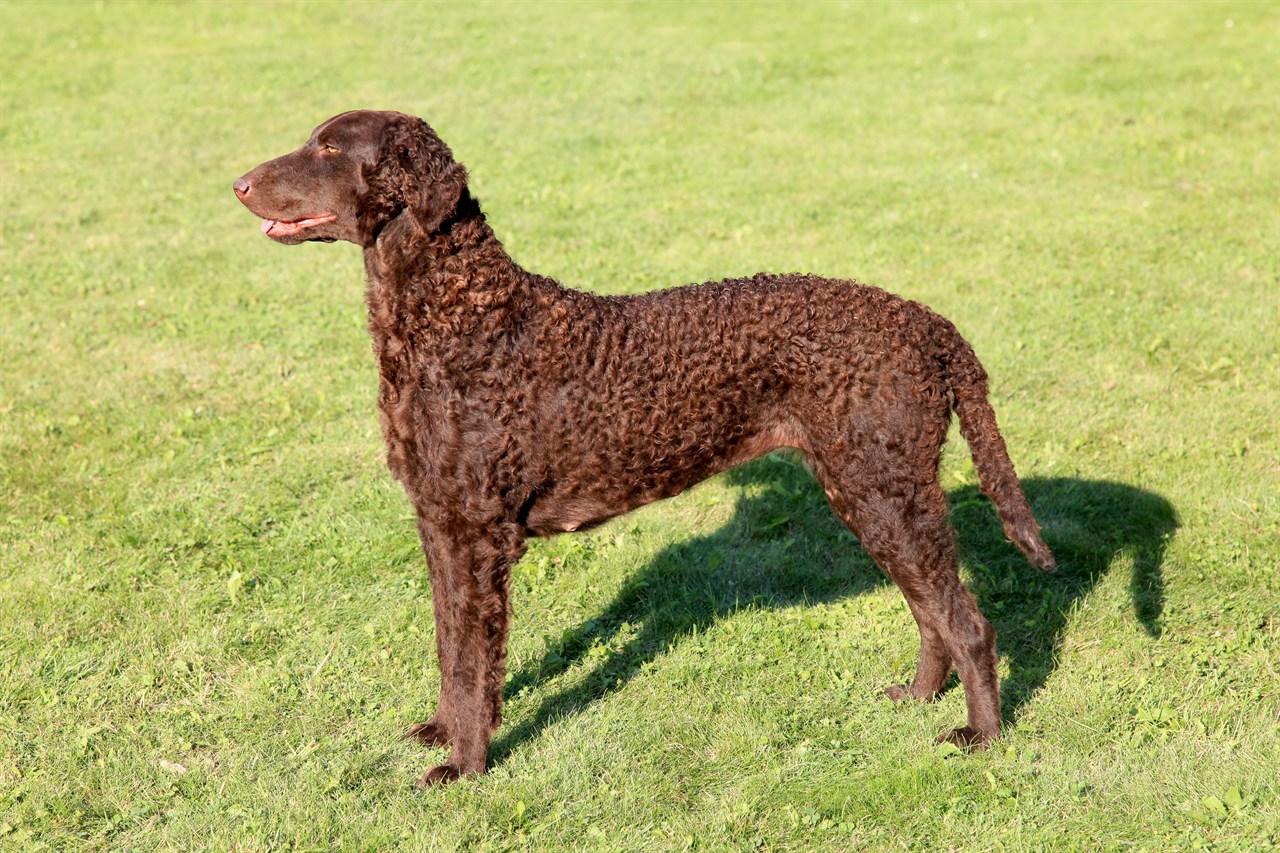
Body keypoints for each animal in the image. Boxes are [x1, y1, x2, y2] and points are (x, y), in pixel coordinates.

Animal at [235, 109, 1054, 788]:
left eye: (330, 149)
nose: (237, 183)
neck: (461, 319)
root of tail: (930, 324)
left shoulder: (477, 534)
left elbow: (473, 661)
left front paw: (463, 766)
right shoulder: (439, 525)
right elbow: (448, 646)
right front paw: (442, 731)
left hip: (885, 490)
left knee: (967, 622)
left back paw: (982, 736)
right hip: (873, 493)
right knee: (931, 611)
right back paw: (917, 695)